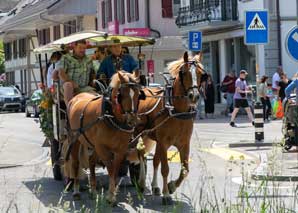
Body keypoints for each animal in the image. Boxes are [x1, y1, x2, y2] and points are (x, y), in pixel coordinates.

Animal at [66, 71, 146, 205]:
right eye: (122, 94)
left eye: (138, 94)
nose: (133, 120)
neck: (111, 116)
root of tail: (77, 96)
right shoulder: (102, 148)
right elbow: (110, 169)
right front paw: (111, 196)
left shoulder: (120, 149)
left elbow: (115, 169)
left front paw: (111, 194)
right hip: (75, 139)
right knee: (76, 163)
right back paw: (76, 191)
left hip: (93, 145)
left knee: (91, 161)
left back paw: (93, 191)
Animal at [136, 51, 205, 205]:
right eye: (183, 72)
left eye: (201, 74)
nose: (194, 96)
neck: (176, 111)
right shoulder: (163, 143)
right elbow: (165, 169)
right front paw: (167, 194)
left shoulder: (184, 144)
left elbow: (185, 170)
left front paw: (172, 186)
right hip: (139, 134)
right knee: (141, 156)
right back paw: (142, 183)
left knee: (154, 160)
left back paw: (155, 187)